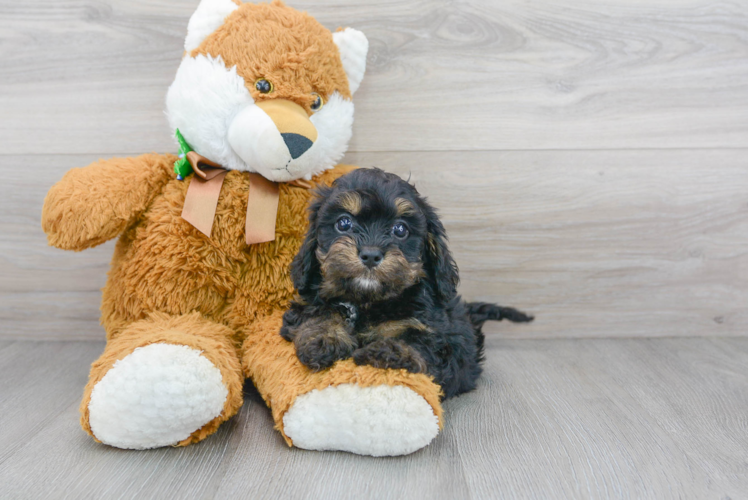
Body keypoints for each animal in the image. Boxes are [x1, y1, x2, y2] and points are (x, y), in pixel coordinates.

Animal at [280, 168, 532, 398]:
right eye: (343, 223)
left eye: (400, 229)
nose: (370, 254)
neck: (367, 302)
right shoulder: (307, 304)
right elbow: (318, 313)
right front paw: (324, 338)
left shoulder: (440, 336)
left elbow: (419, 341)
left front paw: (389, 351)